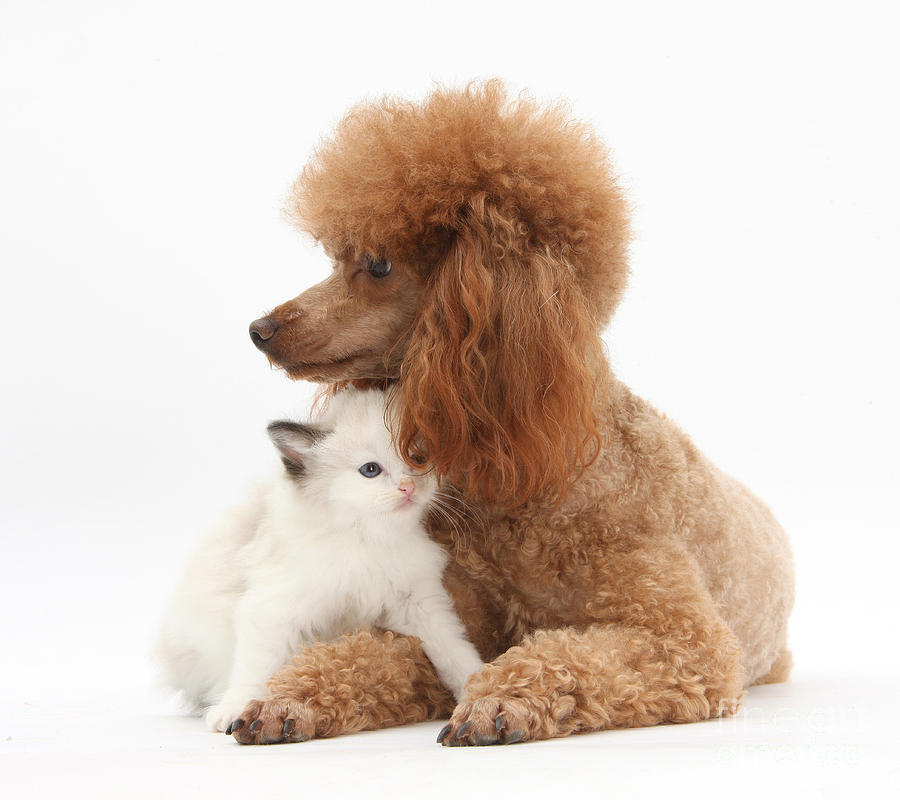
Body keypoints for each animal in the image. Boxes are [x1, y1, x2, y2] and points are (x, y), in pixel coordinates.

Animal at [160, 388, 486, 732]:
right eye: (371, 470)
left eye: (418, 459)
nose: (408, 487)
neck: (366, 539)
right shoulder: (273, 609)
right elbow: (255, 667)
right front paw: (234, 709)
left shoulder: (419, 604)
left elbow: (454, 651)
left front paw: (475, 689)